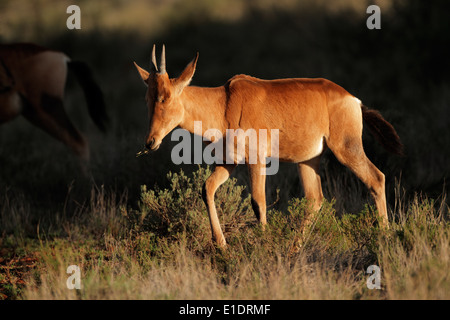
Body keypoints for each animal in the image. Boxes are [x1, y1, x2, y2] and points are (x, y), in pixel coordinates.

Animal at [134, 45, 404, 248]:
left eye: (165, 97)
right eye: (147, 98)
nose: (150, 142)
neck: (226, 102)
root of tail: (353, 100)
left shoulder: (257, 160)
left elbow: (258, 202)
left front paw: (262, 244)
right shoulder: (228, 163)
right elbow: (206, 189)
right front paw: (221, 244)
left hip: (346, 148)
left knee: (376, 179)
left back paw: (384, 236)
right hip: (308, 159)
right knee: (315, 199)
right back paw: (294, 248)